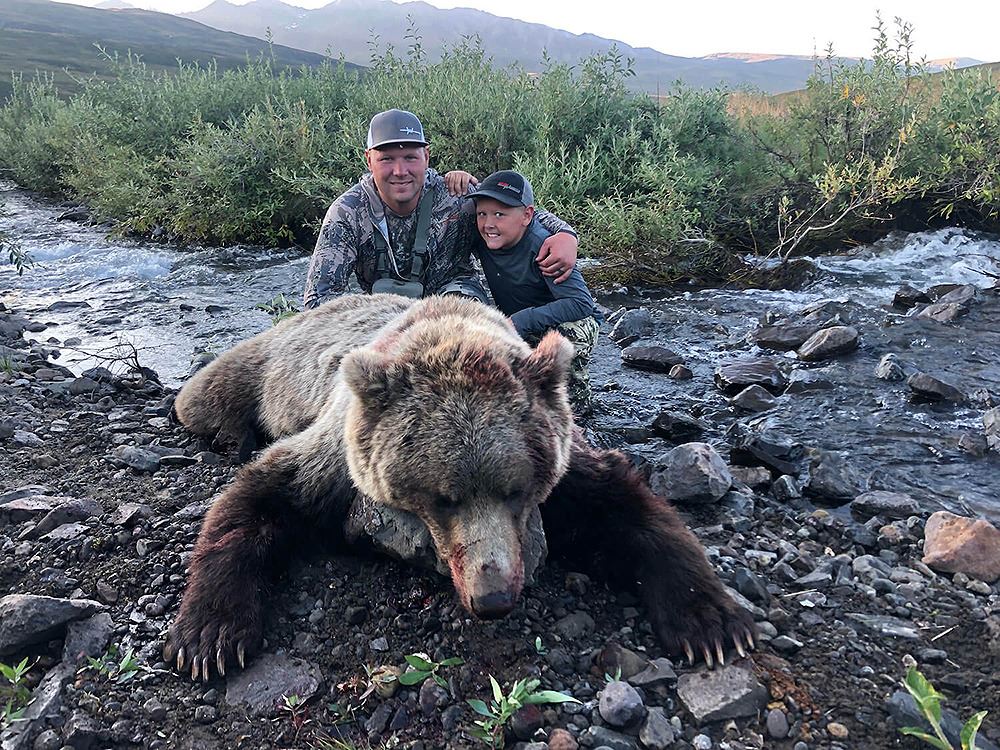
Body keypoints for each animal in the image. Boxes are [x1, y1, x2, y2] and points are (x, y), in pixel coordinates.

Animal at [165, 293, 754, 680]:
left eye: (517, 490)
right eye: (442, 498)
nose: (492, 598)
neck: (450, 329)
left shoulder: (562, 457)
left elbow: (625, 507)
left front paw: (713, 623)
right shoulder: (337, 451)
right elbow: (263, 494)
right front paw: (209, 638)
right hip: (261, 364)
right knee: (202, 397)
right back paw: (231, 433)